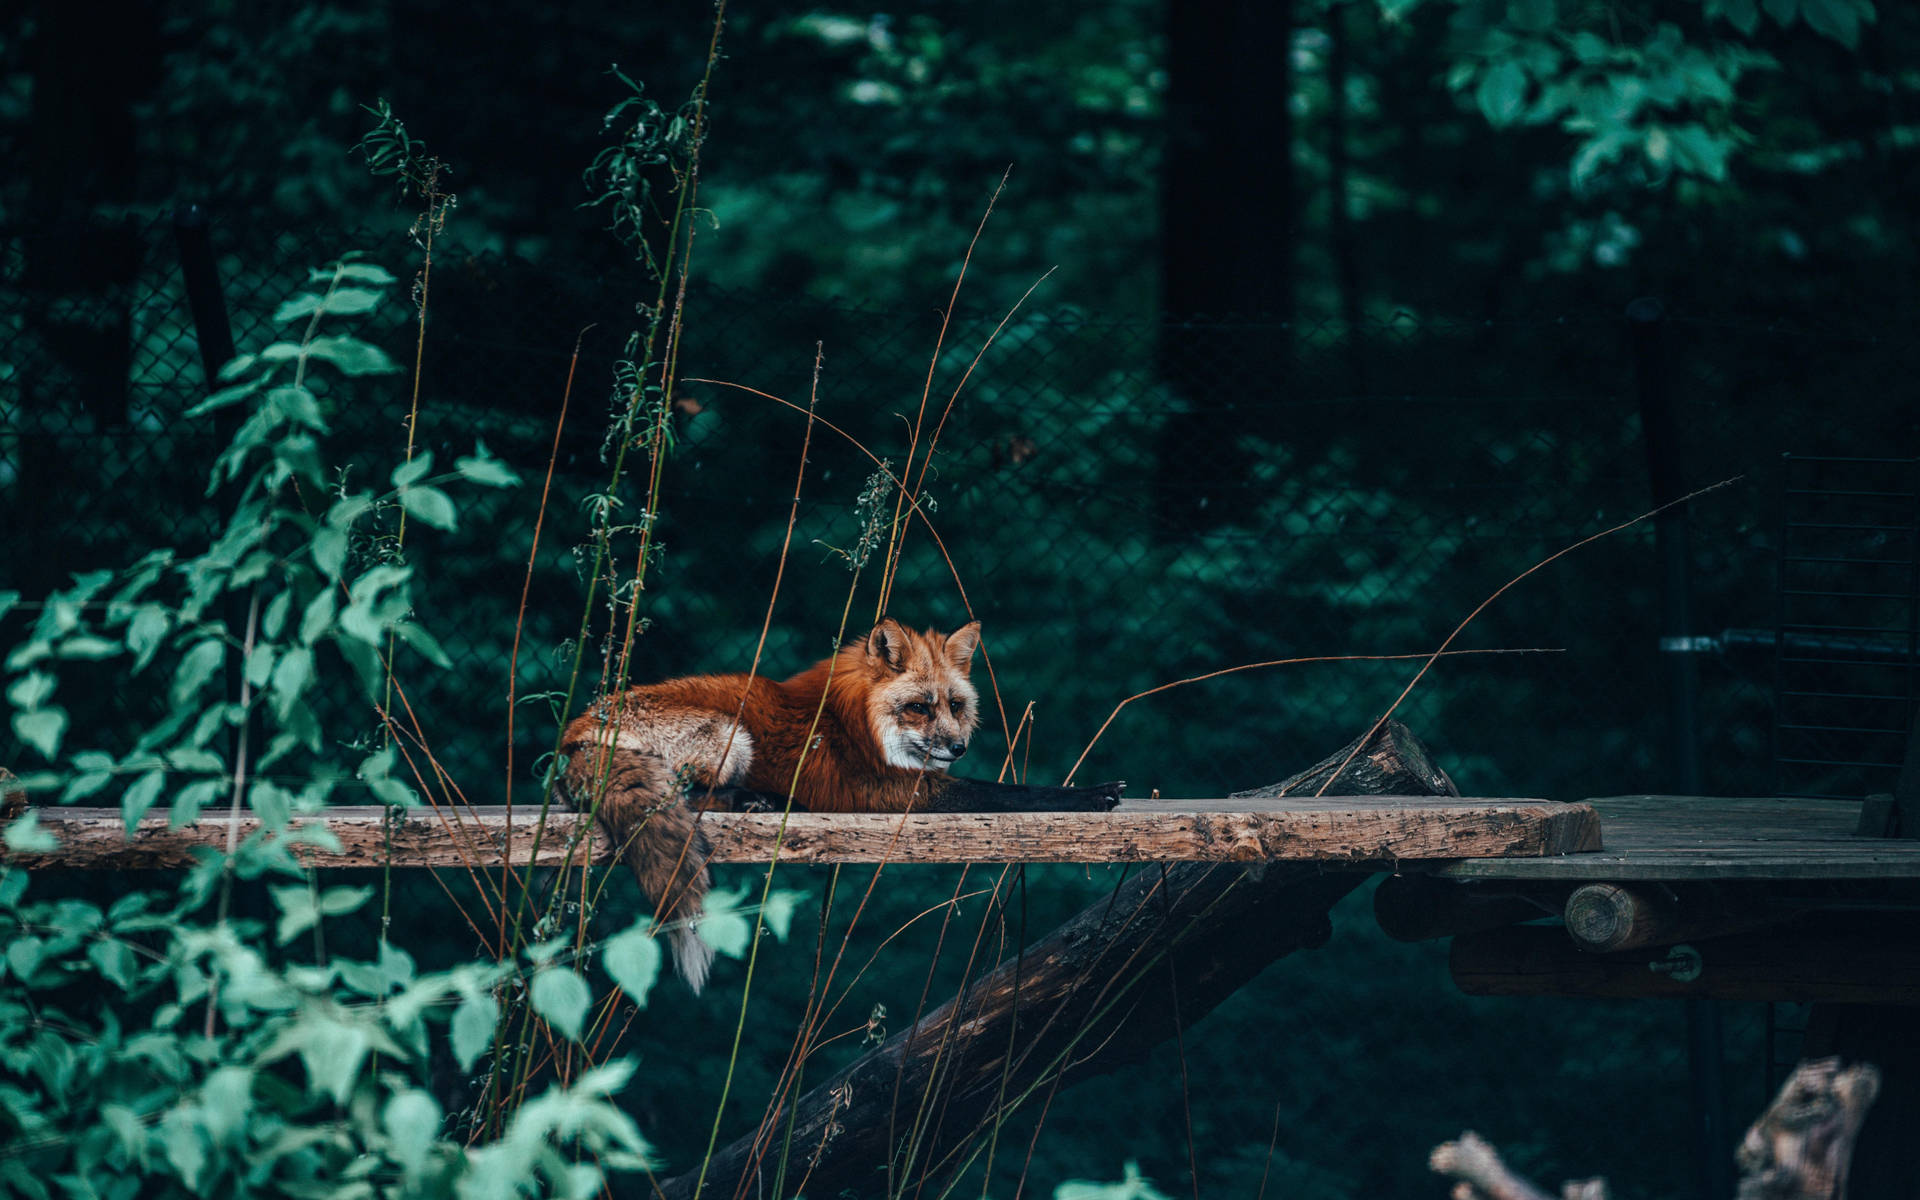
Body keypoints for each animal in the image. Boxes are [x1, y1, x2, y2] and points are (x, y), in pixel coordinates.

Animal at [560, 618, 1121, 990]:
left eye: (956, 705)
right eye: (920, 707)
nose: (959, 748)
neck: (856, 722)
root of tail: (575, 735)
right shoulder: (899, 793)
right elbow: (1018, 791)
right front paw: (1093, 795)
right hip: (731, 737)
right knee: (694, 797)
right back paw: (760, 800)